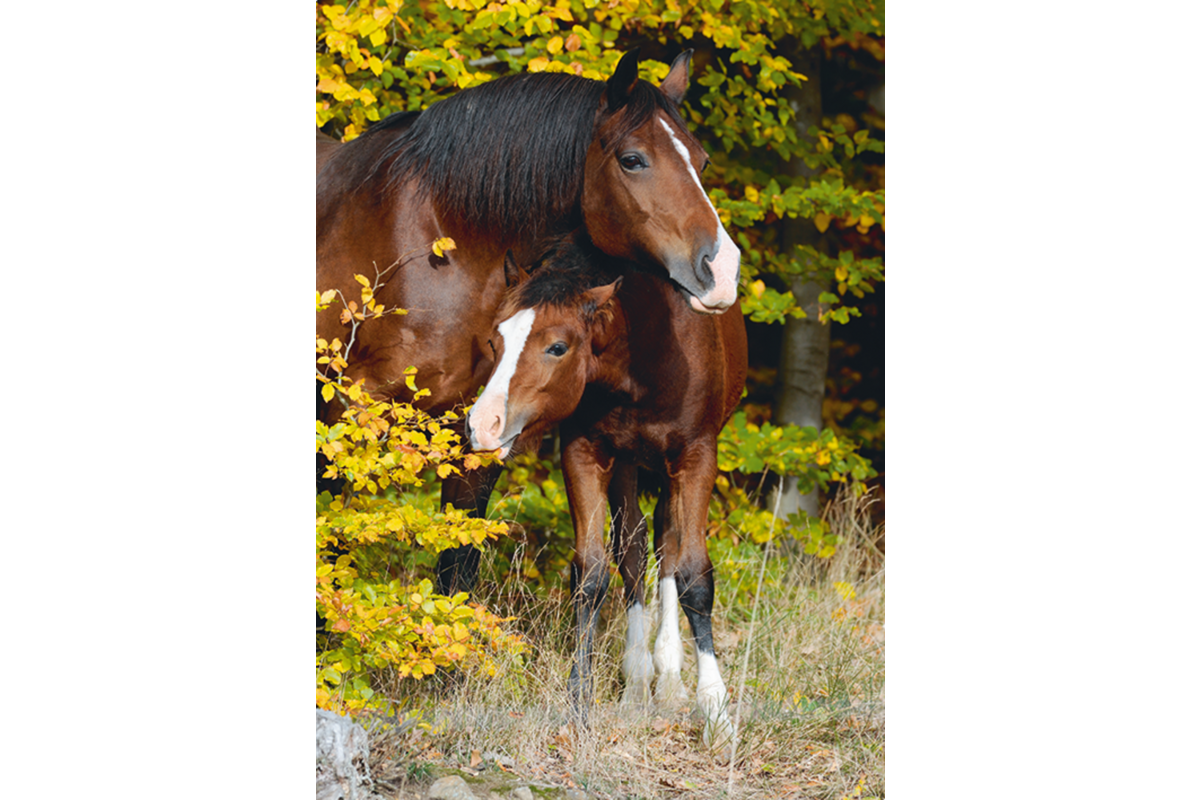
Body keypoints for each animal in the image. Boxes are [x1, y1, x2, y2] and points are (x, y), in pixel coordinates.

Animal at [316, 50, 742, 594]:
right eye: (632, 159)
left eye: (701, 161)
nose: (722, 270)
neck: (436, 246)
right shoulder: (348, 418)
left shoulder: (480, 432)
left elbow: (456, 566)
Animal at [466, 234, 748, 748]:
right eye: (496, 341)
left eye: (557, 347)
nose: (483, 424)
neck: (641, 359)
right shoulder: (583, 453)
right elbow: (591, 573)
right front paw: (580, 700)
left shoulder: (696, 457)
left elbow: (695, 577)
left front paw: (717, 714)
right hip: (628, 466)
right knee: (633, 551)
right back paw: (637, 683)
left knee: (667, 544)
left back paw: (668, 677)